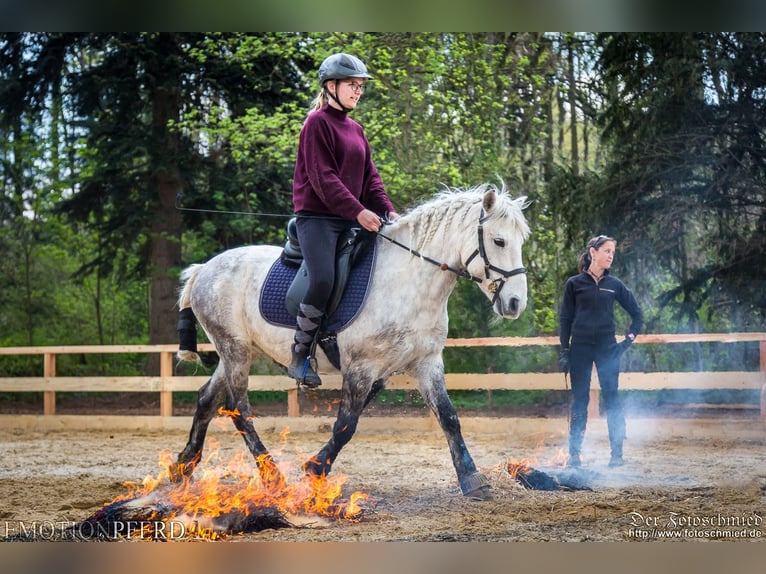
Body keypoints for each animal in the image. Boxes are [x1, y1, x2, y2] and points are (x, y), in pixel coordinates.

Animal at [173, 181, 530, 499]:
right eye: (499, 241)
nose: (515, 304)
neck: (409, 283)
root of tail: (205, 268)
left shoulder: (425, 363)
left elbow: (449, 417)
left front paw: (472, 478)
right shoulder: (362, 367)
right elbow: (346, 424)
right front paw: (316, 471)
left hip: (242, 351)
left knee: (208, 399)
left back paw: (183, 467)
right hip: (234, 350)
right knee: (239, 408)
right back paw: (272, 476)